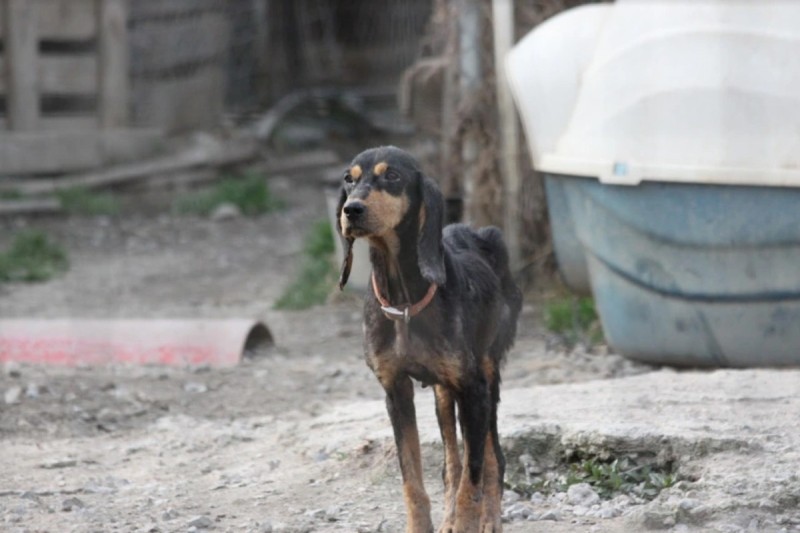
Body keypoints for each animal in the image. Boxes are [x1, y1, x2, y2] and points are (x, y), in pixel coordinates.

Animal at [334, 147, 520, 532]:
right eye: (348, 179)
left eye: (392, 176)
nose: (352, 209)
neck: (404, 300)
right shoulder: (395, 392)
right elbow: (413, 480)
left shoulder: (474, 391)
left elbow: (472, 481)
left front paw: (469, 521)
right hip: (443, 393)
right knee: (451, 460)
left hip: (487, 374)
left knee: (492, 456)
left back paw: (490, 519)